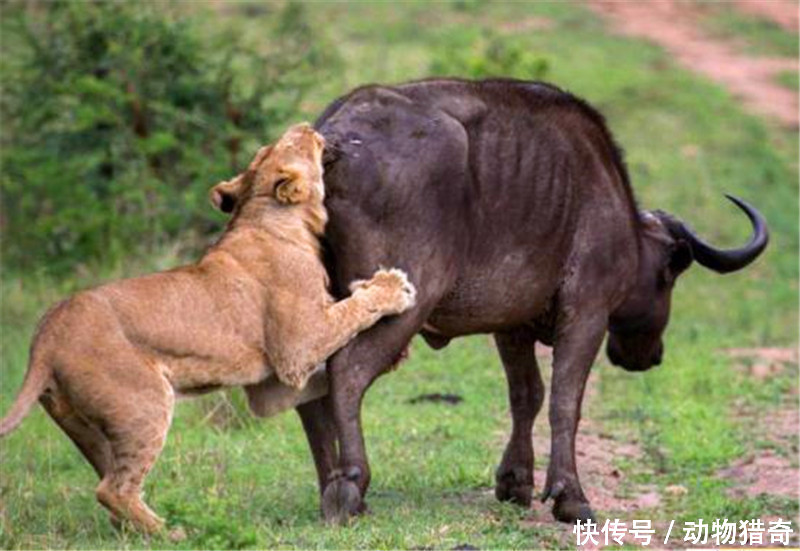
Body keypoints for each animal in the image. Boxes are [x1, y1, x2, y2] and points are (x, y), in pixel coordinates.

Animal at [0, 123, 412, 532]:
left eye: (266, 148)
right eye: (294, 143)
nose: (306, 126)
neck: (268, 216)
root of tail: (45, 335)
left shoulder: (271, 388)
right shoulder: (297, 349)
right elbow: (351, 312)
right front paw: (394, 288)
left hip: (89, 427)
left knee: (111, 485)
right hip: (144, 404)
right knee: (113, 490)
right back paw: (172, 532)